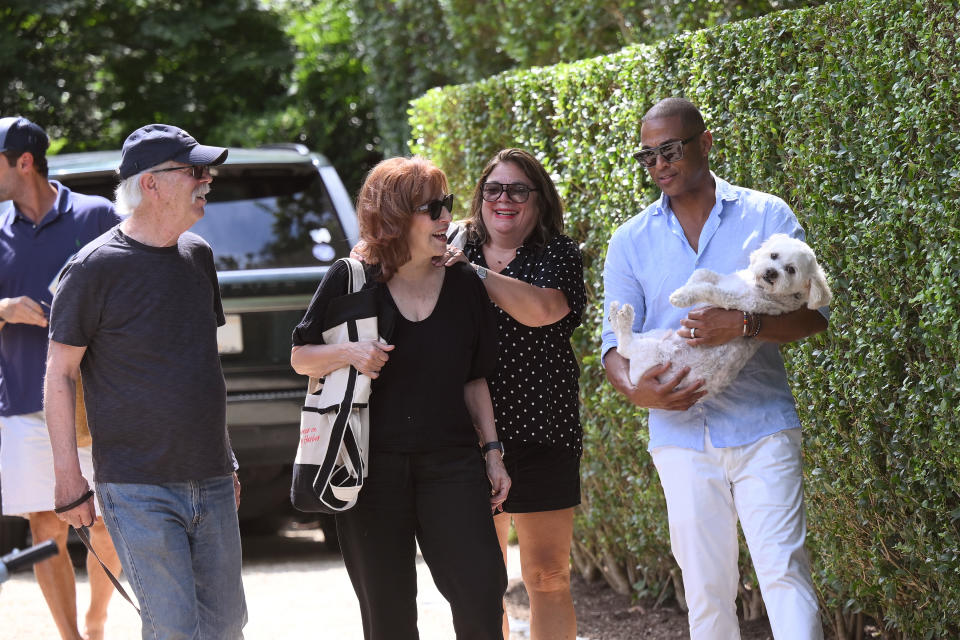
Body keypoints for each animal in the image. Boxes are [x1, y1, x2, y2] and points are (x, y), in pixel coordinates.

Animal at [612, 232, 828, 398]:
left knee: (624, 346)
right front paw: (686, 287)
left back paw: (623, 318)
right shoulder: (724, 279)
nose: (771, 272)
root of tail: (636, 377)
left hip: (654, 352)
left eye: (791, 270)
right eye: (774, 255)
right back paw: (615, 315)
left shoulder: (737, 301)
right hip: (656, 335)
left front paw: (681, 296)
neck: (756, 286)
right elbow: (702, 273)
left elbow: (709, 289)